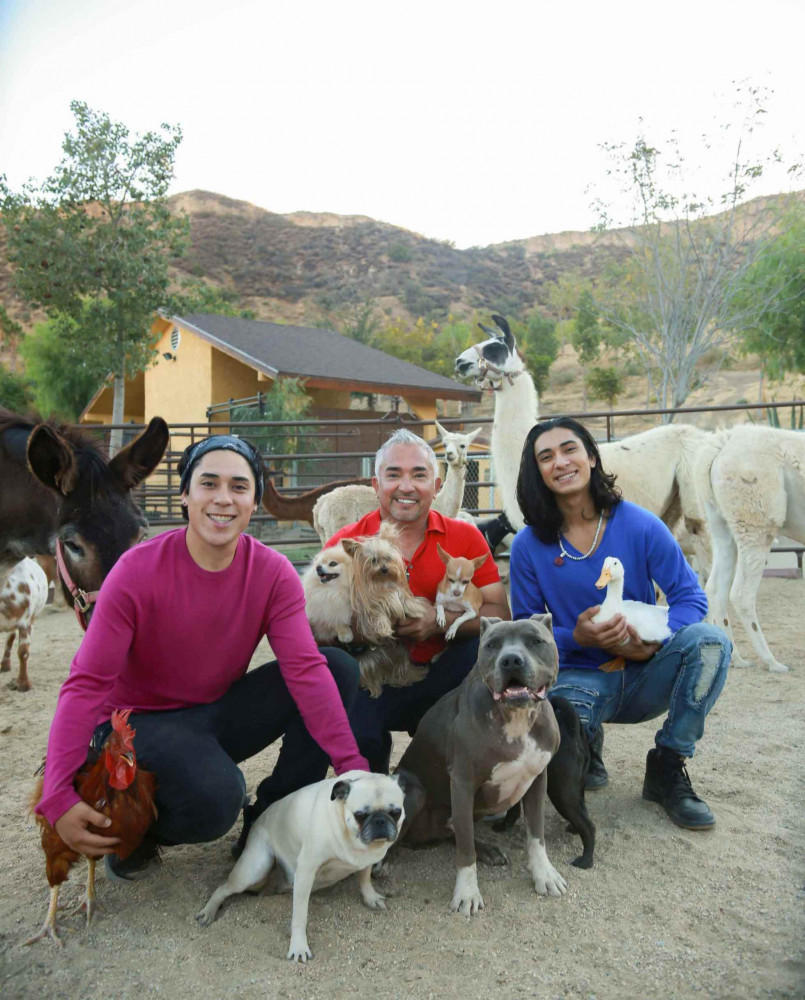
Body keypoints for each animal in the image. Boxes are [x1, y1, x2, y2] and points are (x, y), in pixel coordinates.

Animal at [396, 608, 564, 916]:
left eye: (536, 641)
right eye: (491, 645)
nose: (511, 659)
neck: (515, 718)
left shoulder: (537, 778)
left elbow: (536, 833)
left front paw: (544, 874)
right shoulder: (462, 783)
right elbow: (465, 851)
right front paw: (467, 893)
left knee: (454, 828)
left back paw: (487, 849)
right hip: (412, 792)